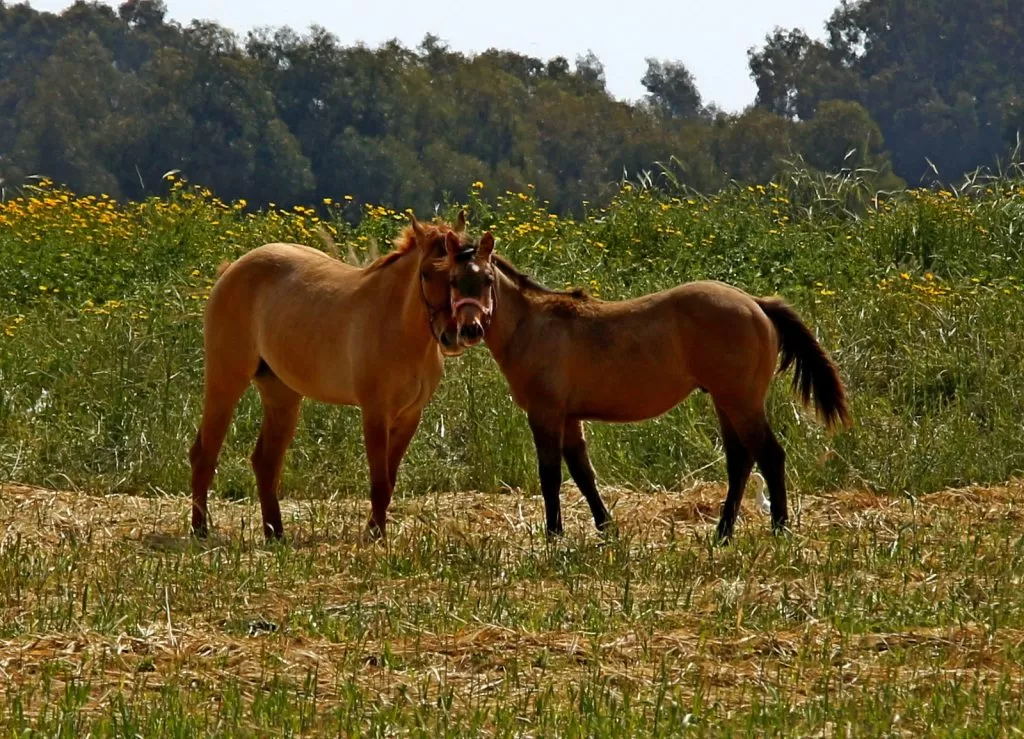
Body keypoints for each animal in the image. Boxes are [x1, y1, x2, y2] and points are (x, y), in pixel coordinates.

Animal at [188, 209, 468, 536]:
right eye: (426, 273)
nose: (451, 336)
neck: (399, 328)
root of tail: (232, 268)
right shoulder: (376, 412)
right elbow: (380, 483)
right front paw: (373, 535)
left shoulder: (410, 415)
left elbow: (390, 480)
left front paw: (377, 531)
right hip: (225, 380)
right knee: (204, 454)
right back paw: (201, 530)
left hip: (281, 394)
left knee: (265, 461)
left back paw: (275, 534)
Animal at [440, 236, 847, 540]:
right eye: (453, 281)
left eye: (487, 280)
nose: (469, 330)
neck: (533, 325)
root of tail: (756, 303)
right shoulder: (569, 418)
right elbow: (583, 472)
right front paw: (606, 527)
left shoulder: (546, 414)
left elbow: (550, 474)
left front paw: (554, 534)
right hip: (726, 402)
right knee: (740, 461)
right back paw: (723, 532)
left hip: (741, 401)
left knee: (769, 455)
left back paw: (779, 528)